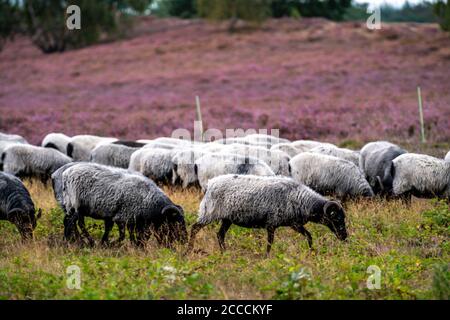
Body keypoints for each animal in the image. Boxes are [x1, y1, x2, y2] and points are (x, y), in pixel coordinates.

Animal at [186, 175, 348, 255]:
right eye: (336, 218)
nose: (344, 237)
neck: (301, 200)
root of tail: (210, 183)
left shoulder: (294, 224)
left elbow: (308, 236)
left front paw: (312, 252)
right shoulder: (271, 223)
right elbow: (270, 242)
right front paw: (267, 257)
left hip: (227, 219)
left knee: (220, 235)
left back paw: (225, 253)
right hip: (209, 212)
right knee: (195, 228)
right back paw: (188, 251)